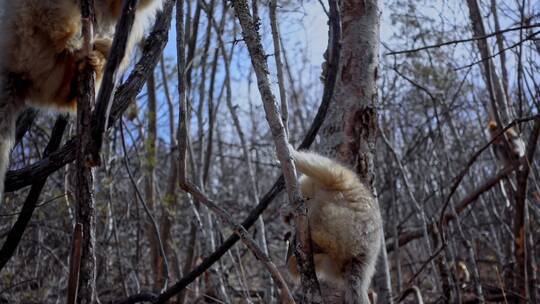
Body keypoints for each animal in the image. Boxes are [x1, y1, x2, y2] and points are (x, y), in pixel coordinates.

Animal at [284, 148, 382, 302]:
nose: (289, 218)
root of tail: (364, 257)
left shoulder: (337, 177)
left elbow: (320, 167)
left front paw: (291, 152)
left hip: (350, 230)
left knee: (325, 209)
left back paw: (316, 241)